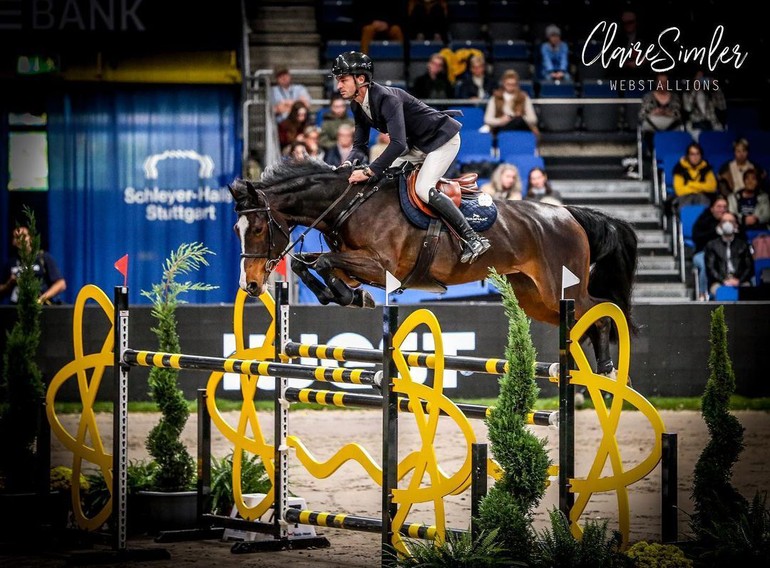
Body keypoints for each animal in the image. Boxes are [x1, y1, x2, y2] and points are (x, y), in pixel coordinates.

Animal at [228, 159, 636, 378]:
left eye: (259, 228)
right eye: (236, 230)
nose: (250, 285)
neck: (350, 204)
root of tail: (569, 214)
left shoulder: (383, 267)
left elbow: (322, 262)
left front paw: (349, 296)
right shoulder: (355, 265)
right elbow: (307, 264)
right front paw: (346, 296)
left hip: (560, 289)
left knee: (601, 312)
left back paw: (607, 369)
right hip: (534, 297)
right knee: (584, 318)